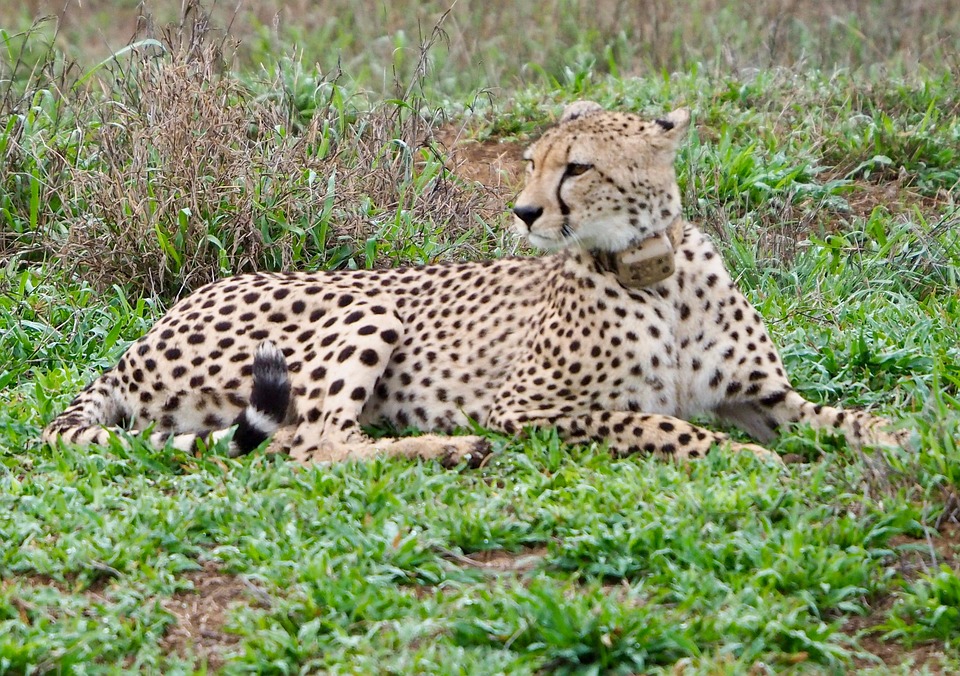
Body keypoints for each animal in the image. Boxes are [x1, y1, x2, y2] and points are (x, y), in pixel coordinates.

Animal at [43, 101, 908, 466]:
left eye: (577, 168)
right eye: (530, 161)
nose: (523, 213)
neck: (653, 273)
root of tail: (143, 336)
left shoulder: (762, 397)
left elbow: (843, 417)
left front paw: (908, 437)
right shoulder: (527, 407)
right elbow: (659, 425)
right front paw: (738, 459)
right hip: (368, 303)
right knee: (305, 443)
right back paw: (449, 446)